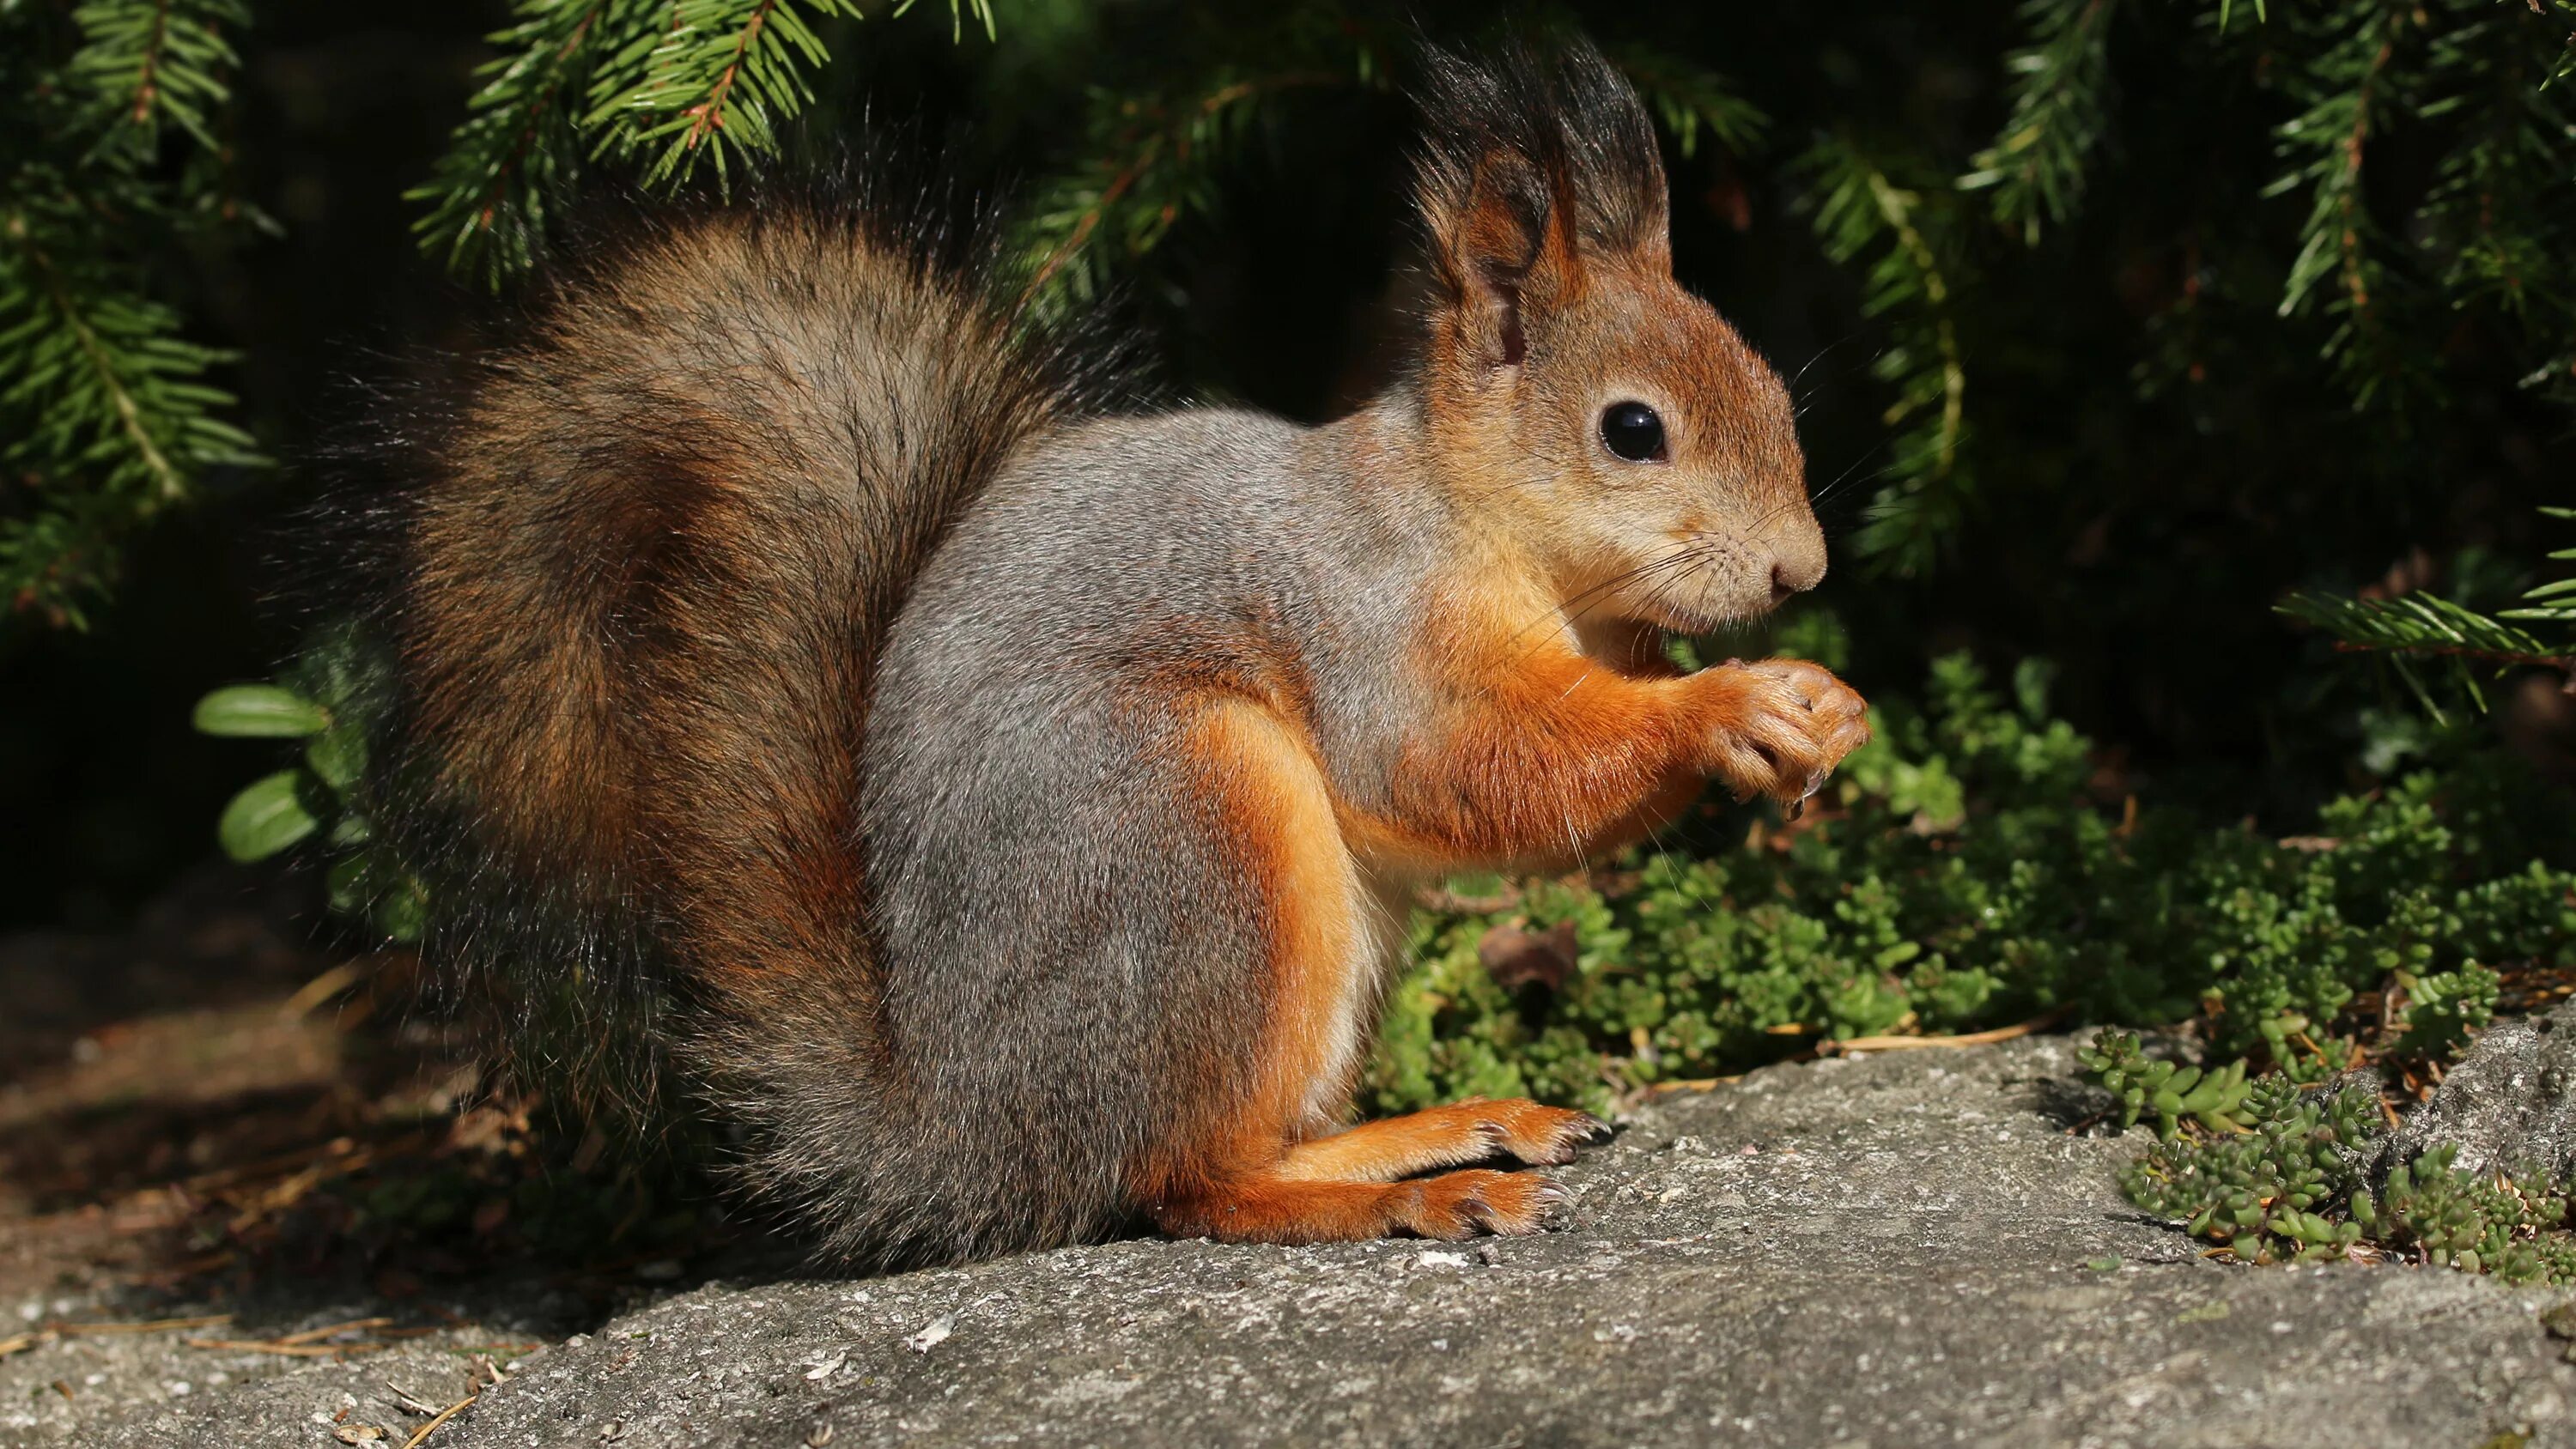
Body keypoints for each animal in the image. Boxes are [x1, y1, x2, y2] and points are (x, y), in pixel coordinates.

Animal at [343, 39, 1875, 1271]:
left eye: (1766, 380)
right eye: (1633, 430)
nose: (1802, 573)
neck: (1480, 521)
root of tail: (967, 1124)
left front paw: (1829, 707)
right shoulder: (1371, 617)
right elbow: (1463, 770)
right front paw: (1728, 711)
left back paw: (1439, 1127)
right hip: (1194, 832)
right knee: (1180, 1182)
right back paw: (1392, 1196)